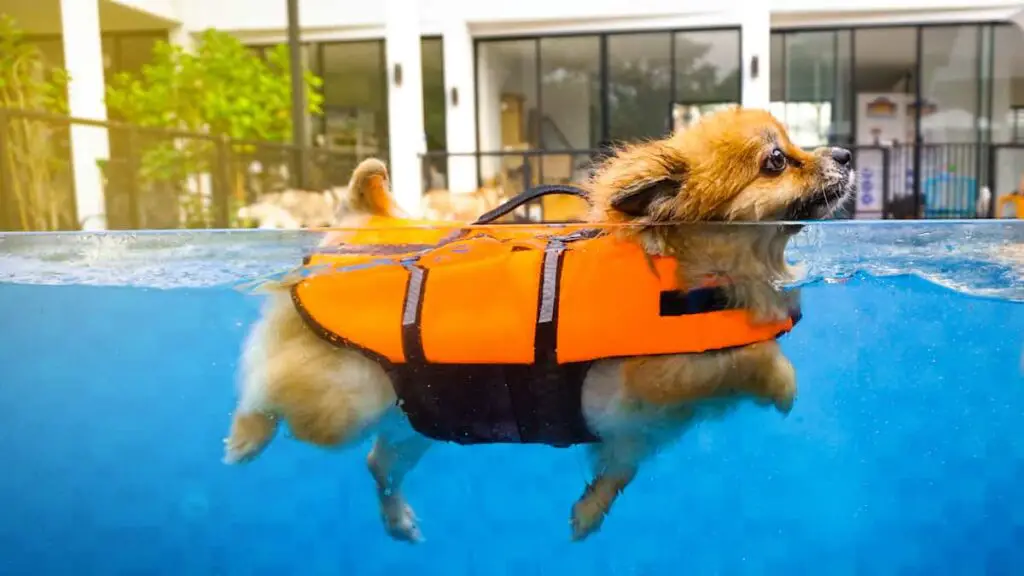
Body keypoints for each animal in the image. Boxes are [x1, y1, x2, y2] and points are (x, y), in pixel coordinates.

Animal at [224, 105, 856, 541]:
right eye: (777, 160)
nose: (847, 155)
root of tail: (355, 225)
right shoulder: (658, 377)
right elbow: (750, 356)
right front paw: (782, 385)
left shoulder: (632, 438)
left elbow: (615, 477)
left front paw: (586, 516)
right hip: (340, 400)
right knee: (265, 385)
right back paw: (244, 437)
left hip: (417, 415)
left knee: (377, 461)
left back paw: (399, 520)